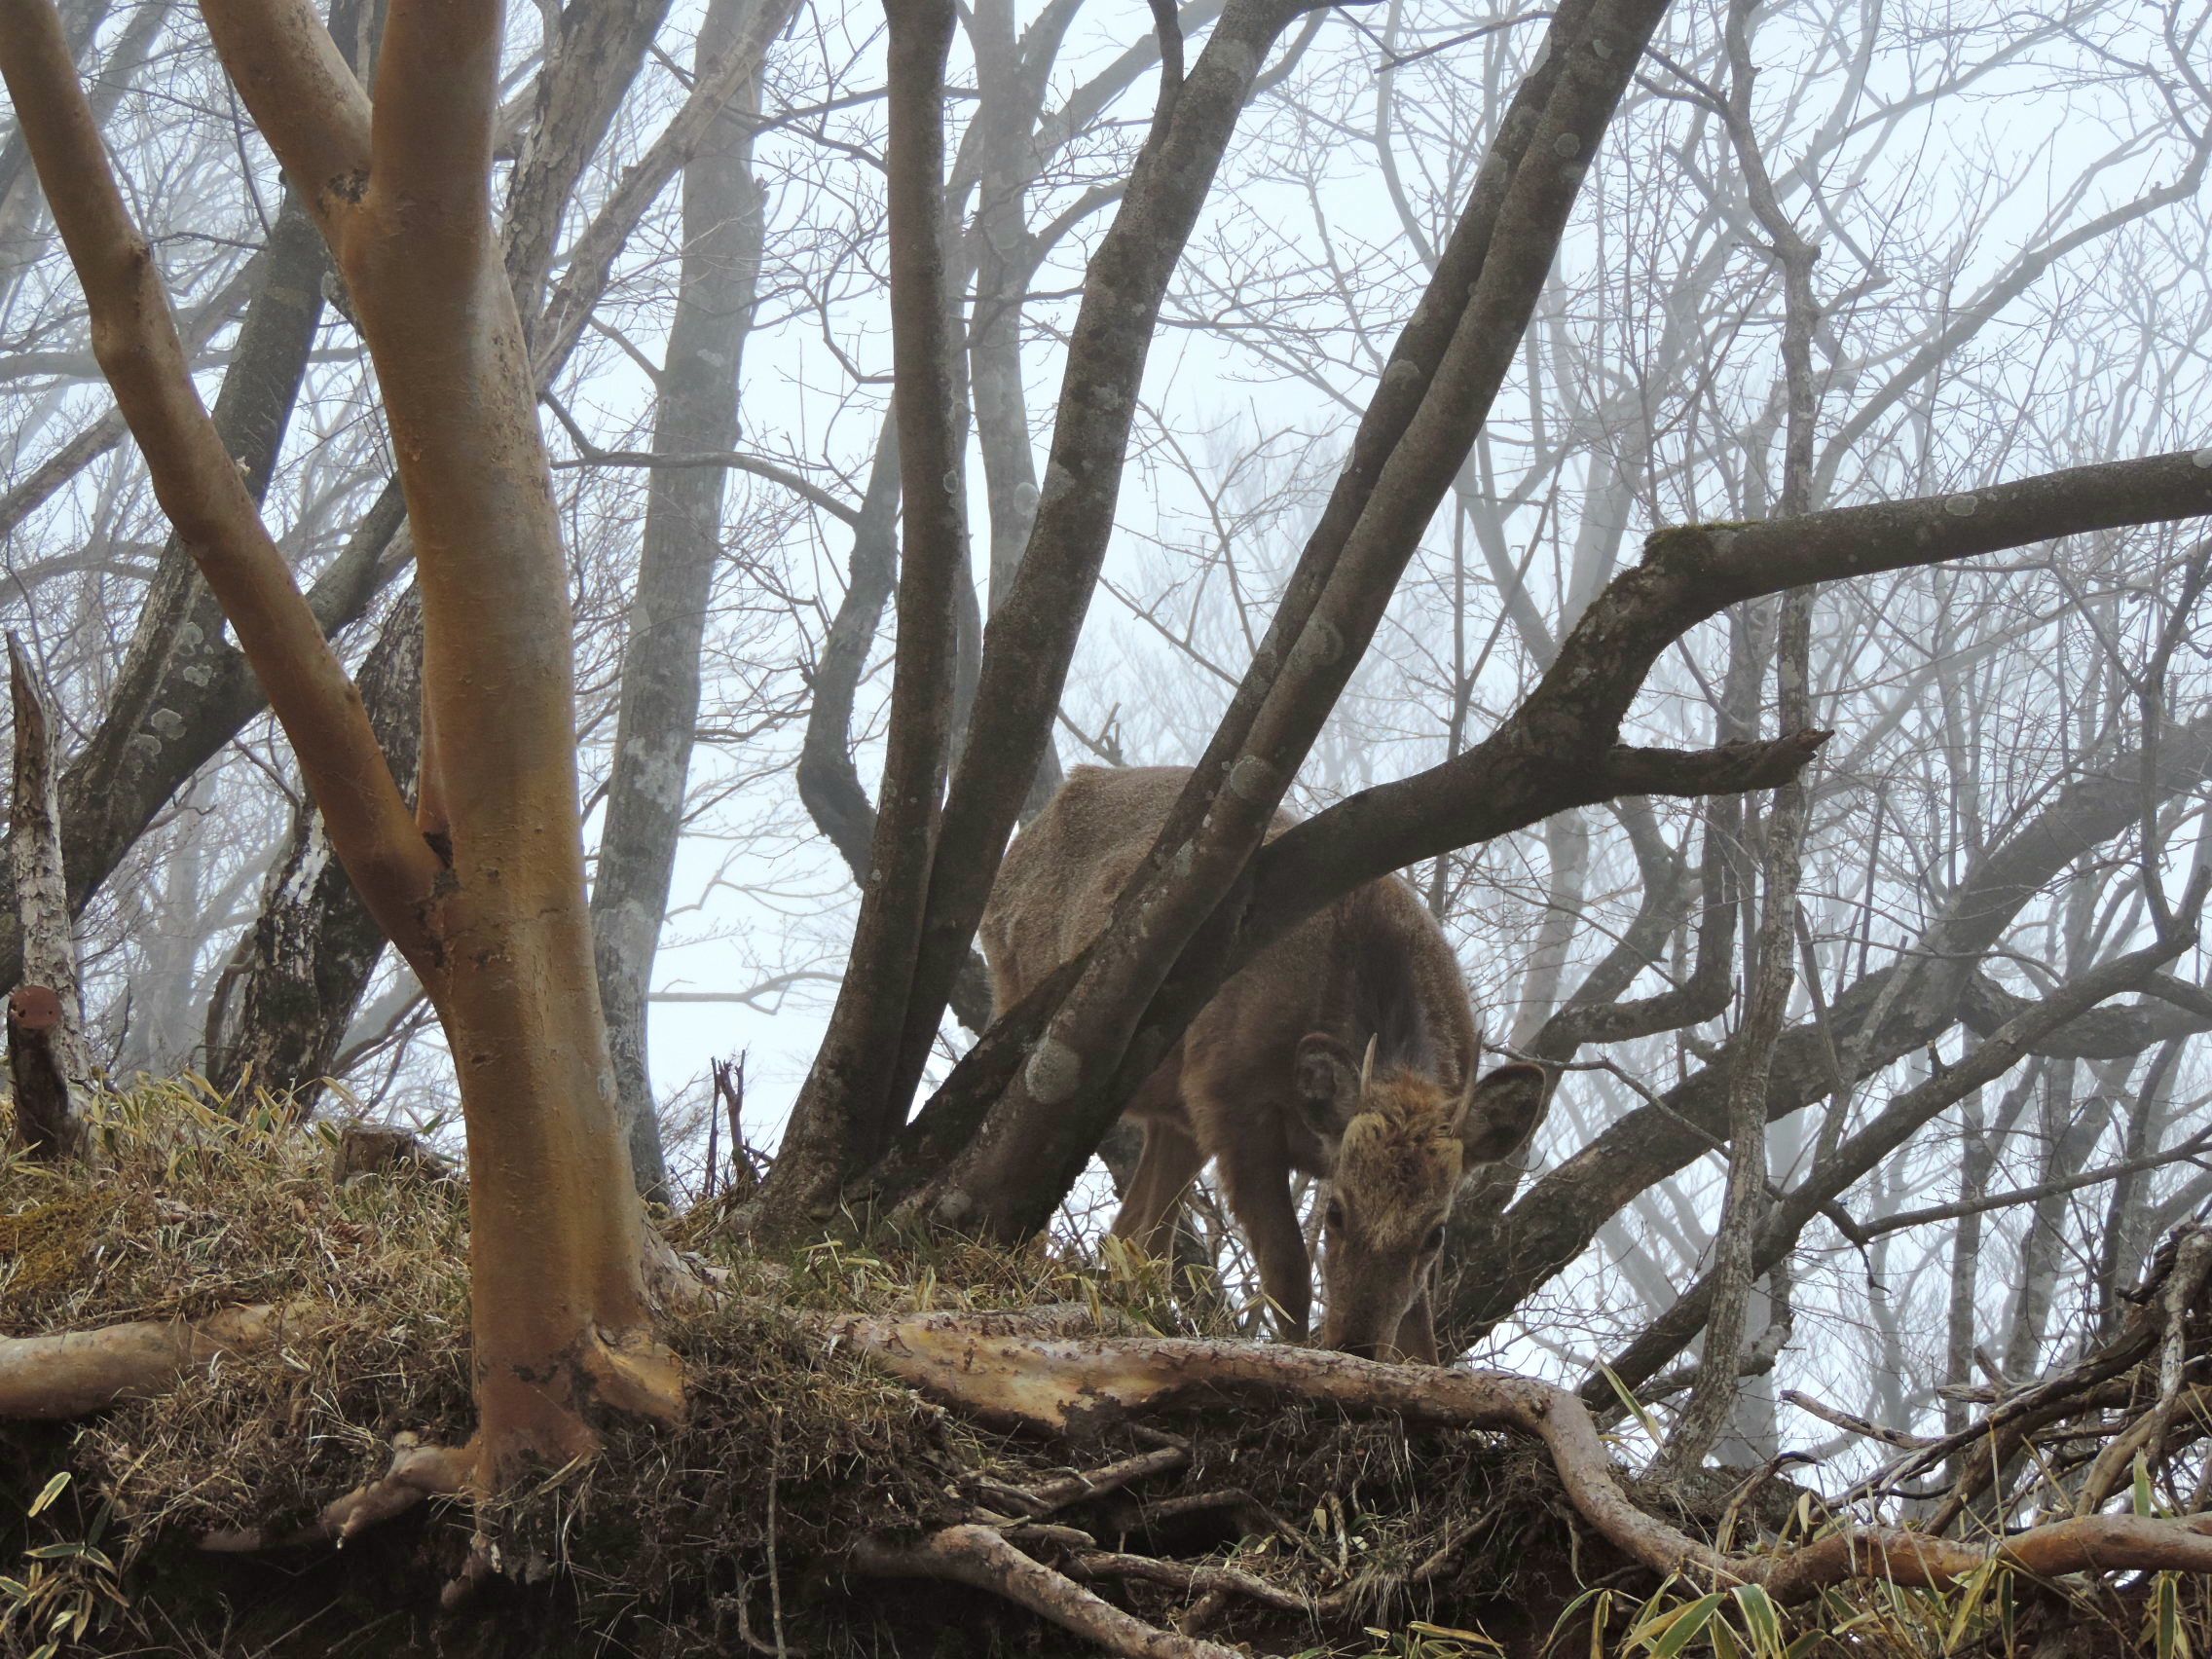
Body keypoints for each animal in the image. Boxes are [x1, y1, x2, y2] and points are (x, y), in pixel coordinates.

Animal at [981, 766, 1551, 1364]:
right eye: (1336, 1212)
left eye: (1436, 1233)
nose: (1356, 1344)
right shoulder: (1235, 1105)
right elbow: (1287, 1269)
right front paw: (1300, 1352)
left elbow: (1421, 1325)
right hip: (1019, 988)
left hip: (1178, 1113)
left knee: (1135, 1232)